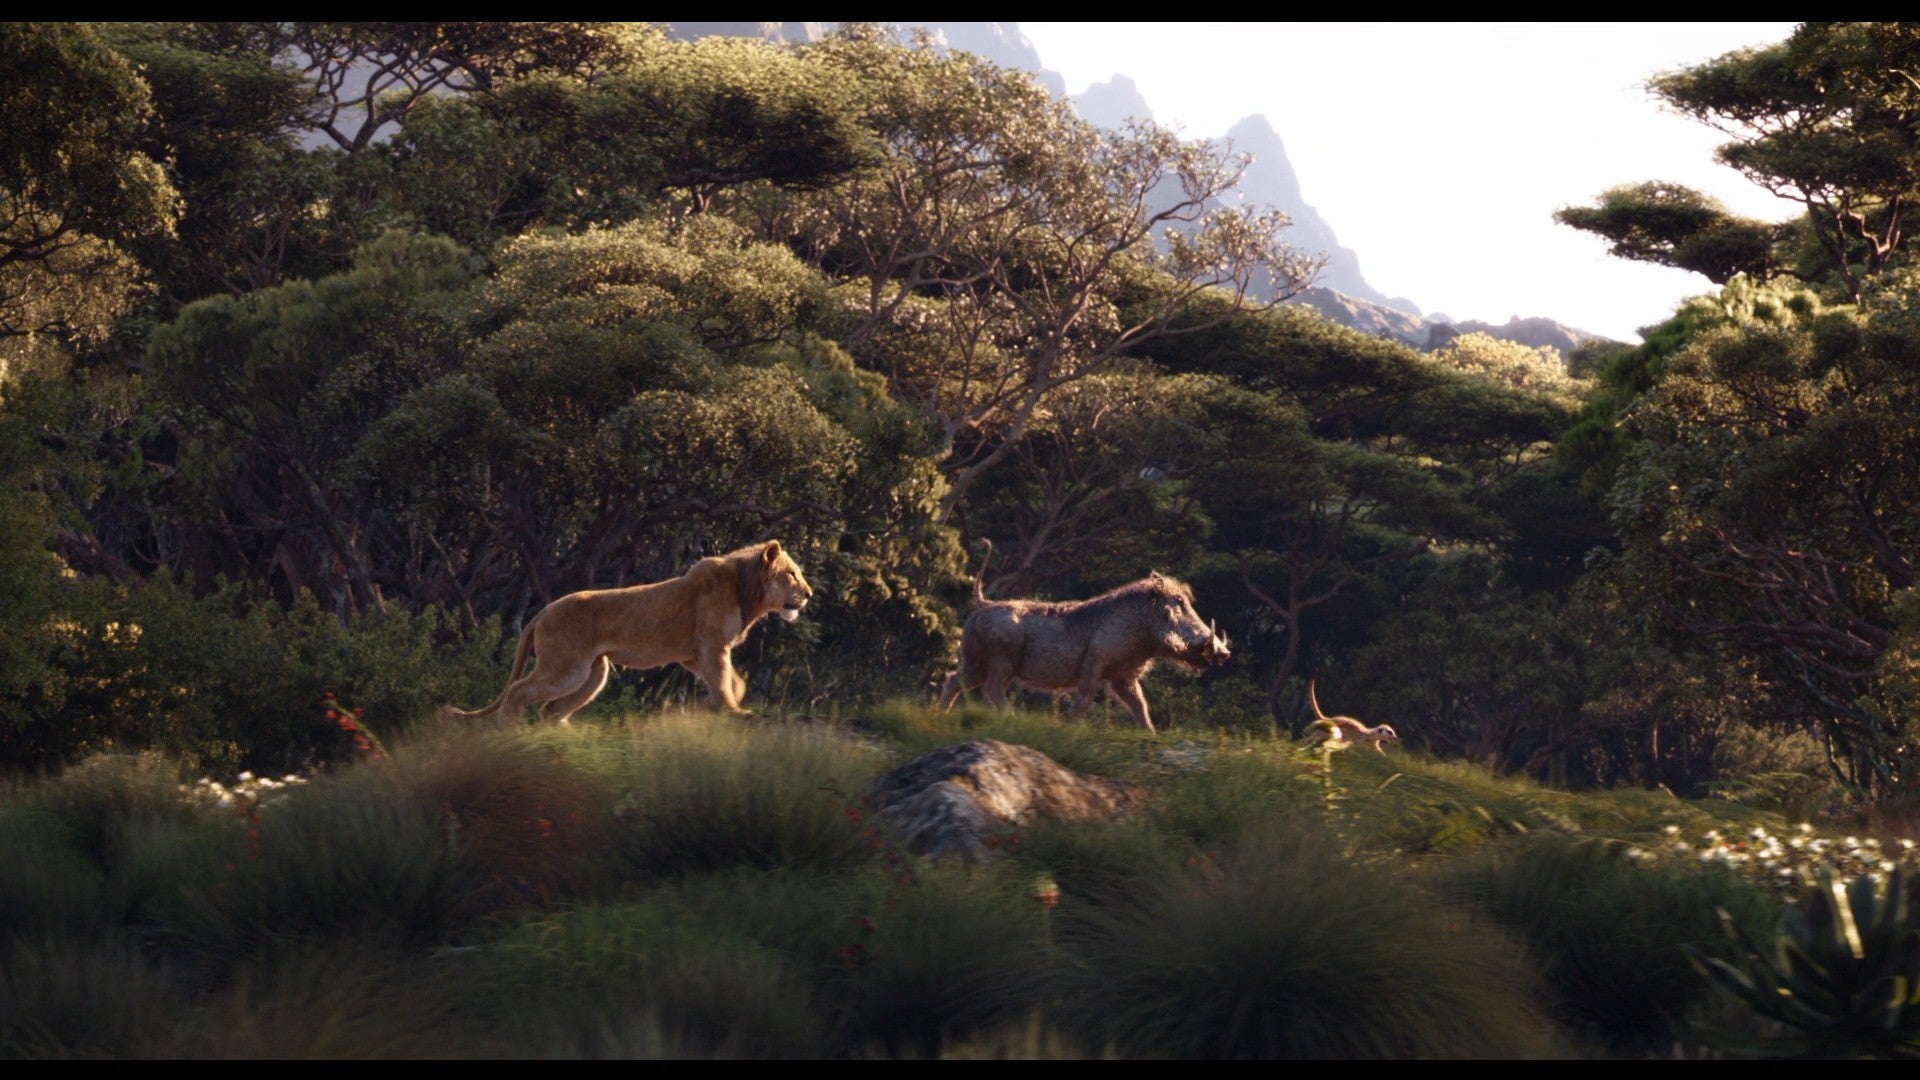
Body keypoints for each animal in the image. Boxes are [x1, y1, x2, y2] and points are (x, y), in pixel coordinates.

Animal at [441, 538, 810, 722]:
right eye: (791, 574)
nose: (808, 594)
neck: (748, 591)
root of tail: (542, 611)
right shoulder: (712, 645)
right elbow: (722, 680)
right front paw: (735, 711)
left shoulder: (693, 654)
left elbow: (733, 680)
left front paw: (728, 703)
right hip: (567, 668)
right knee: (519, 692)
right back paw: (511, 732)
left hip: (594, 671)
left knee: (550, 711)